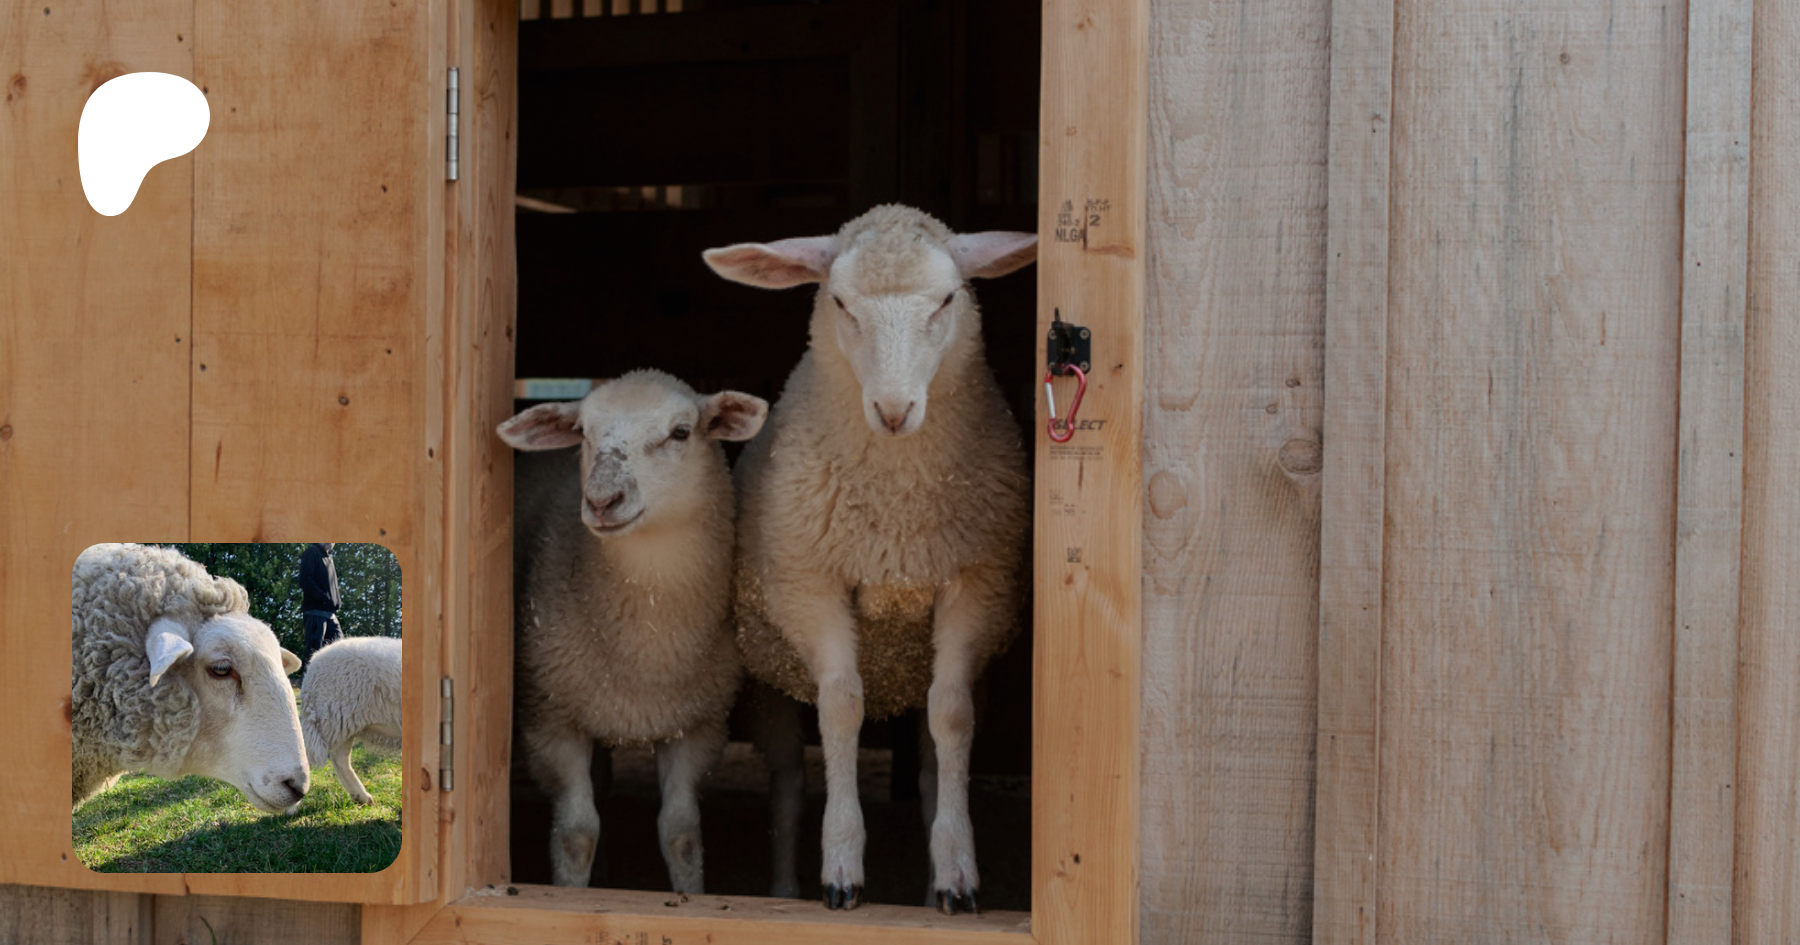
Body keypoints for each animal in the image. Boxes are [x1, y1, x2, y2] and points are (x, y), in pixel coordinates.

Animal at [497, 369, 769, 893]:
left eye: (681, 432)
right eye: (582, 432)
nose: (602, 500)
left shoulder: (697, 726)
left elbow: (682, 833)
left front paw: (690, 895)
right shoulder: (551, 721)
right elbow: (577, 832)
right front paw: (571, 892)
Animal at [702, 204, 1034, 913]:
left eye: (948, 299)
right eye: (839, 302)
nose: (893, 410)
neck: (898, 512)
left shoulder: (978, 586)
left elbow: (952, 715)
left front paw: (957, 870)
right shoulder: (810, 587)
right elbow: (842, 708)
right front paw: (842, 866)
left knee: (934, 761)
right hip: (768, 667)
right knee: (789, 784)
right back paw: (785, 887)